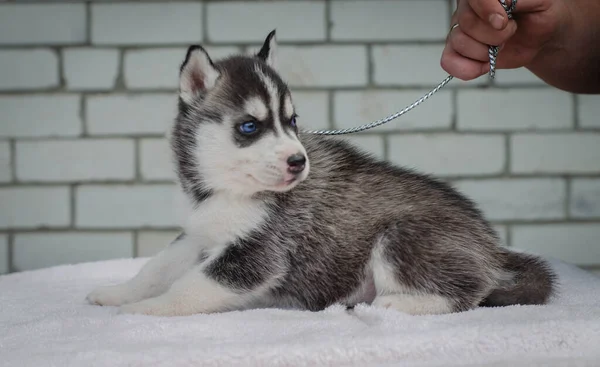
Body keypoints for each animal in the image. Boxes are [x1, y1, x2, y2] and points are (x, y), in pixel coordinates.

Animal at [85, 30, 556, 316]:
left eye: (292, 121)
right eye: (250, 127)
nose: (298, 161)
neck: (223, 191)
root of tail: (490, 245)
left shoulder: (258, 253)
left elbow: (189, 286)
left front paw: (145, 310)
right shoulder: (198, 235)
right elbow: (156, 268)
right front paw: (118, 293)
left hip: (403, 237)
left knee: (469, 292)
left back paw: (396, 305)